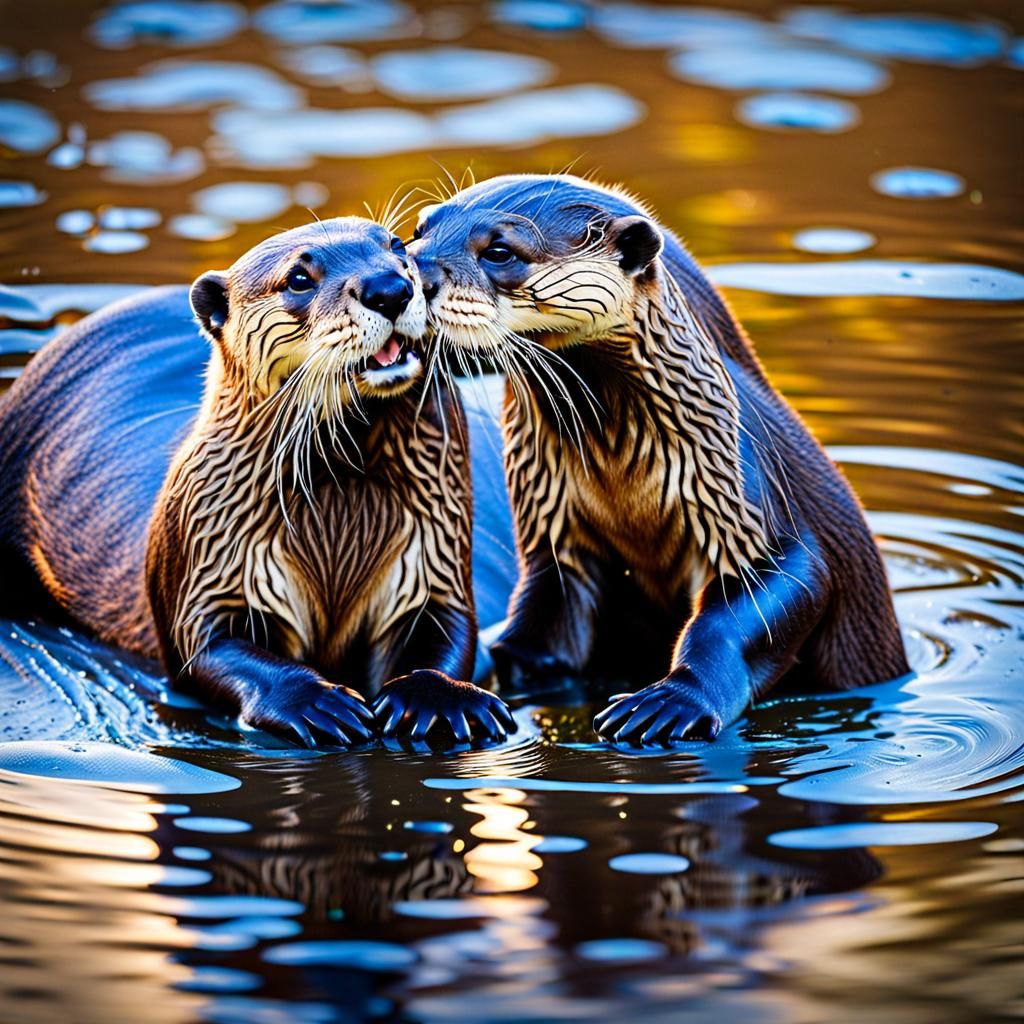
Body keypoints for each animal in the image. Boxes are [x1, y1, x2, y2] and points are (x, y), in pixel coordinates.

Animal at [0, 218, 514, 748]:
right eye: (299, 279)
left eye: (395, 246)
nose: (388, 288)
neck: (338, 527)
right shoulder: (204, 548)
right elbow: (203, 647)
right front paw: (312, 702)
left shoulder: (433, 548)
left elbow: (450, 627)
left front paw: (440, 698)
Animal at [409, 174, 909, 745]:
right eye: (416, 234)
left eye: (499, 250)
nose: (408, 276)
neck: (624, 483)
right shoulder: (557, 536)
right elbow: (539, 629)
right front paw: (440, 689)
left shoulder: (744, 489)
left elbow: (785, 584)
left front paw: (674, 700)